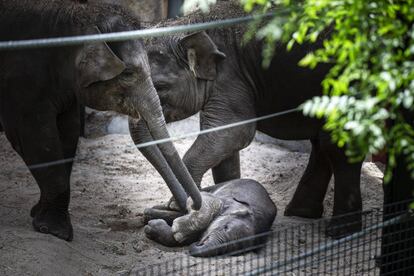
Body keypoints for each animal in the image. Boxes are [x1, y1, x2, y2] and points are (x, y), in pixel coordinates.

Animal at [0, 0, 201, 240]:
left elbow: (68, 133)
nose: (189, 207)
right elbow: (38, 139)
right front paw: (56, 231)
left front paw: (39, 215)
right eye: (128, 74)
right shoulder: (23, 83)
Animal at [133, 4, 362, 237]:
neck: (193, 24)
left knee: (337, 143)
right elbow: (223, 143)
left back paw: (340, 231)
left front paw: (175, 208)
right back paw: (301, 213)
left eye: (160, 86)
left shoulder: (231, 76)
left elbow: (233, 132)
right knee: (323, 142)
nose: (173, 207)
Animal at [144, 179, 276, 256]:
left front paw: (152, 227)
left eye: (234, 249)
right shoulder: (227, 199)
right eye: (225, 227)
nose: (197, 244)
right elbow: (206, 201)